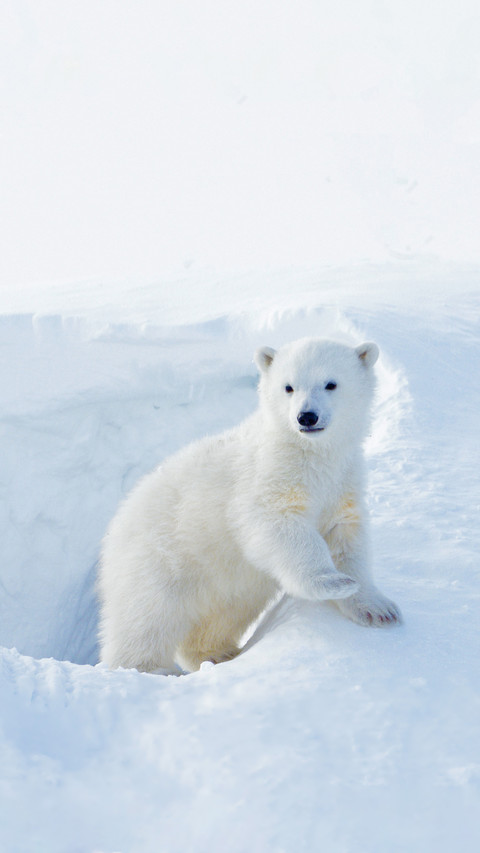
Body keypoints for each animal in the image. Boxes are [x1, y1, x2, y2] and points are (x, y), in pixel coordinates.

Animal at [98, 337, 402, 674]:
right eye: (288, 387)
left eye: (331, 383)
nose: (306, 417)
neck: (309, 453)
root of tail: (115, 529)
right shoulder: (266, 477)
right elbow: (277, 525)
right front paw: (332, 582)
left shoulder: (341, 482)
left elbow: (346, 539)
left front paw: (378, 608)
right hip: (161, 559)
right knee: (147, 616)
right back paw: (147, 668)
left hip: (224, 582)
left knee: (221, 617)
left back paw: (220, 654)